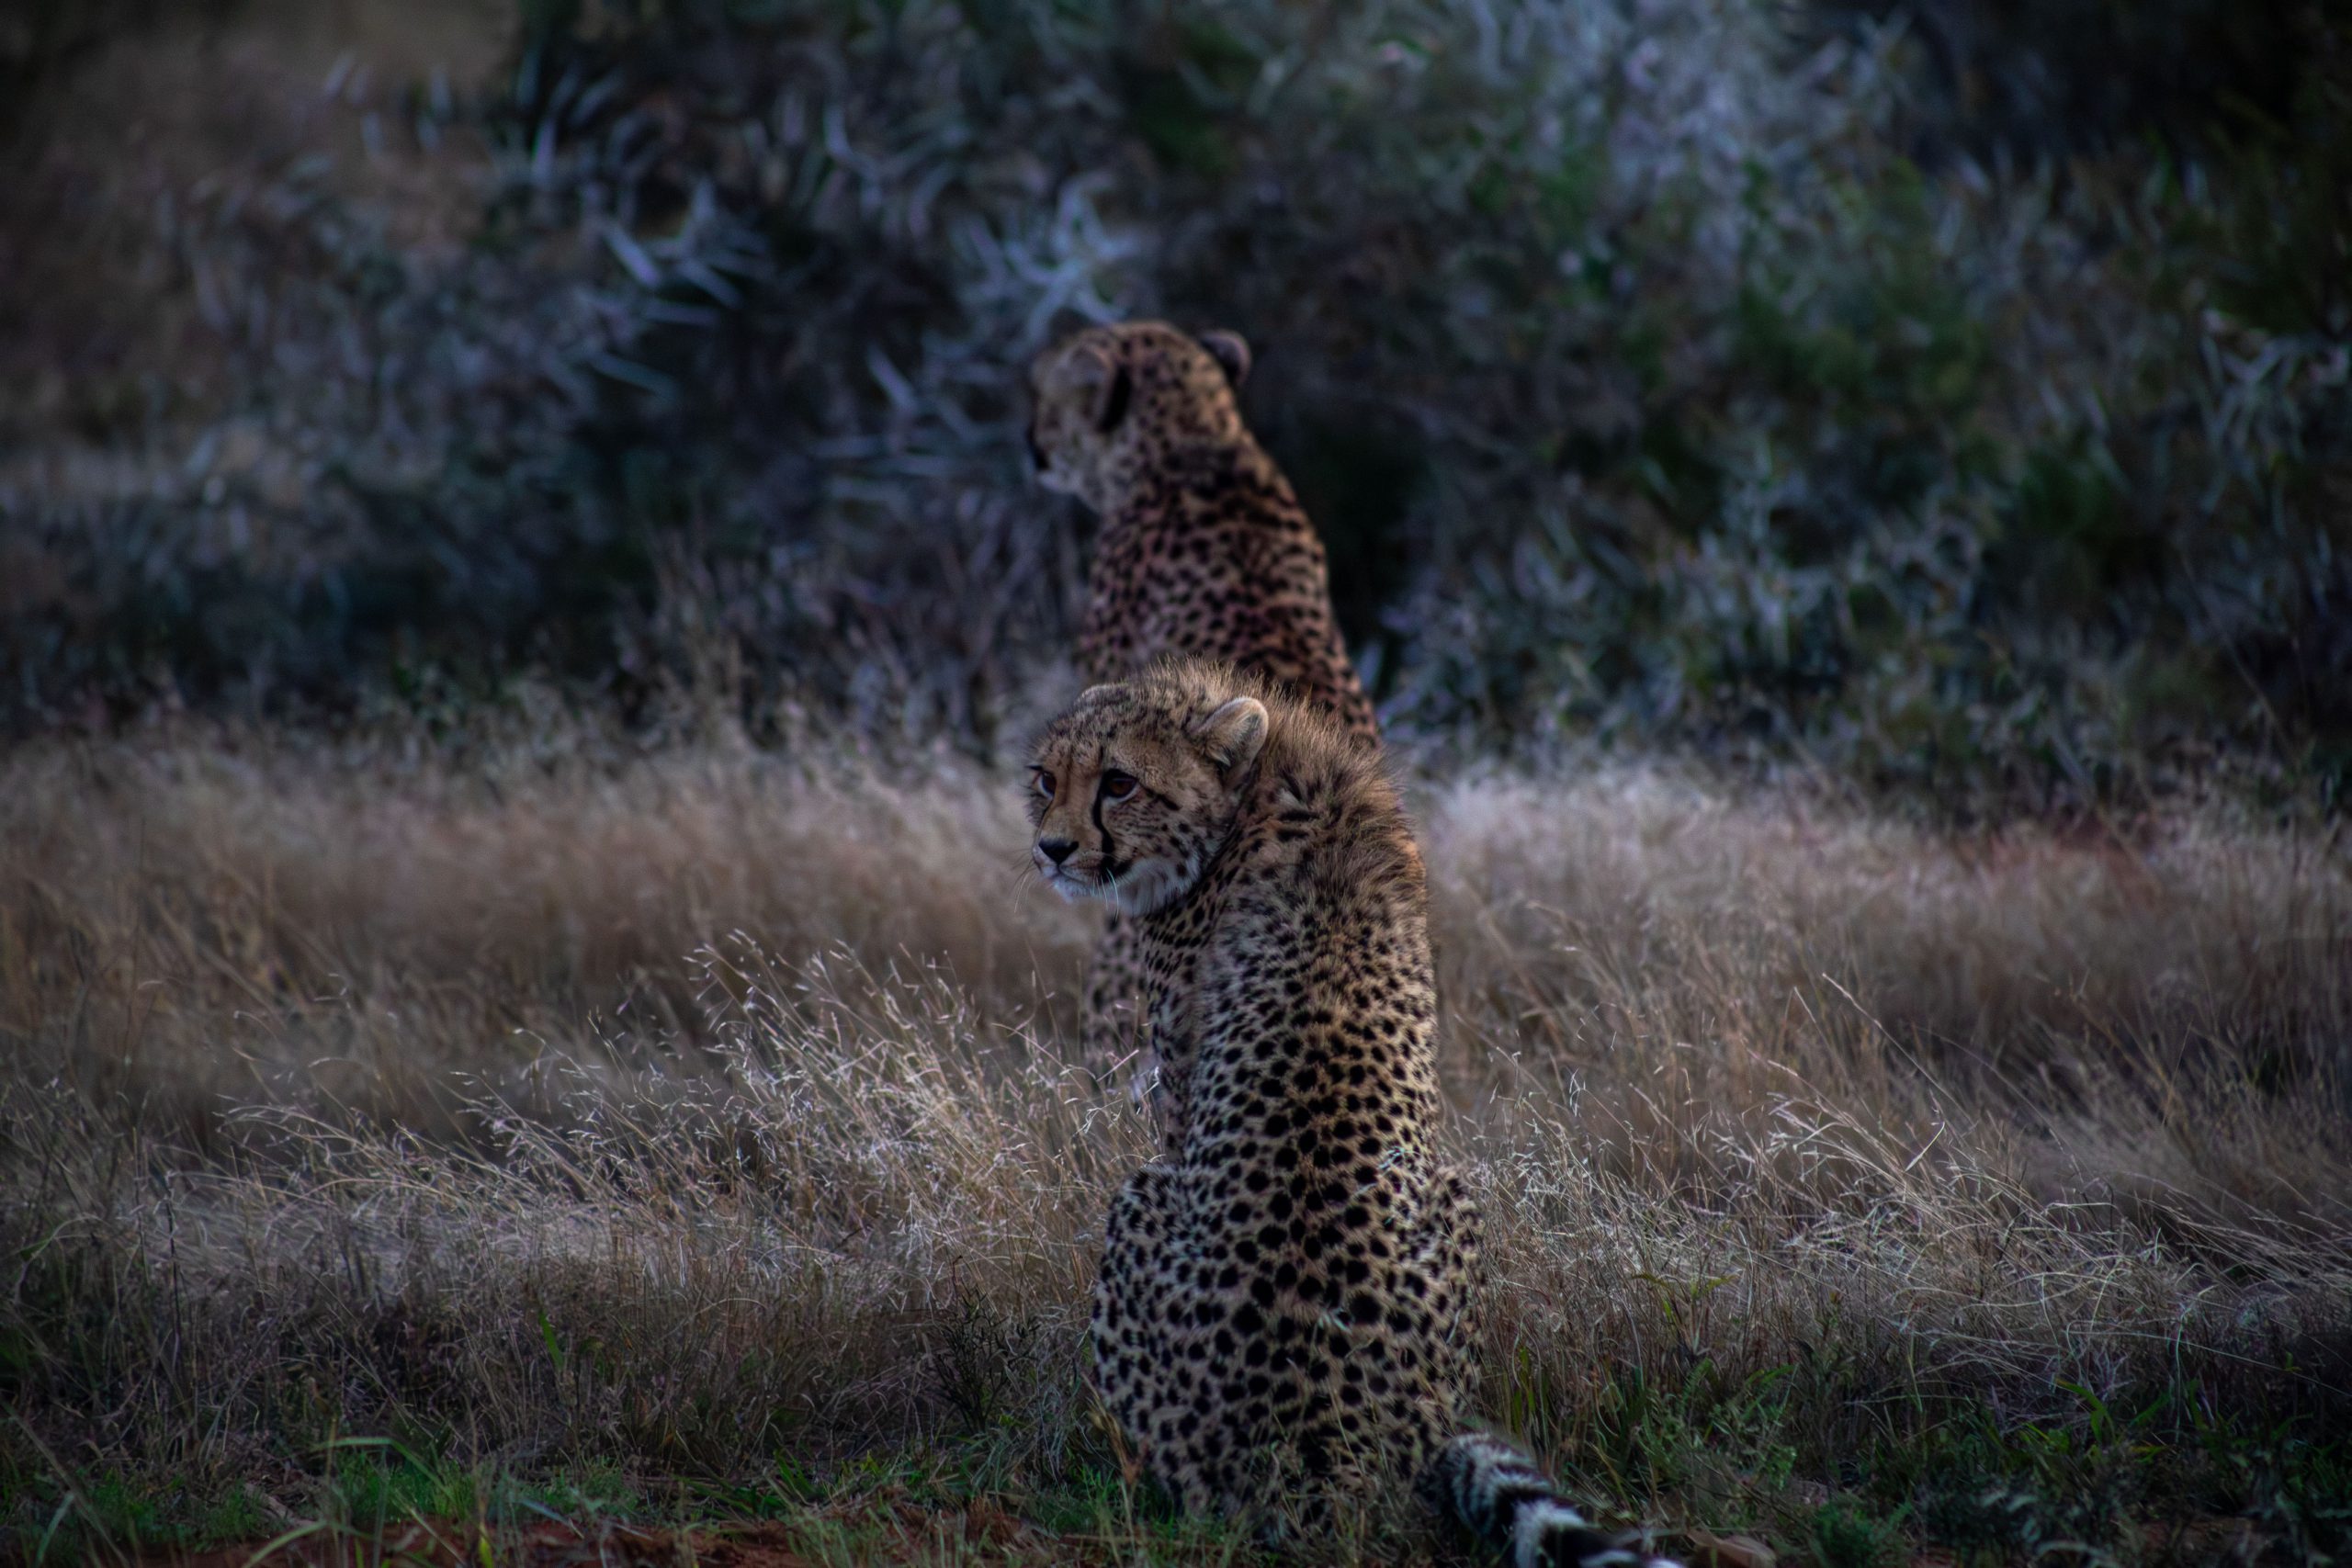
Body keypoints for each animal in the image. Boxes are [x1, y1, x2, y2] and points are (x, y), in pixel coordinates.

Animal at [1025, 662, 1674, 1568]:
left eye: (1119, 782)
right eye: (1046, 778)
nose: (1051, 848)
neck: (1266, 785)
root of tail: (1321, 1458)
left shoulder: (1177, 1108)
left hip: (1143, 1199)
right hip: (1459, 1198)